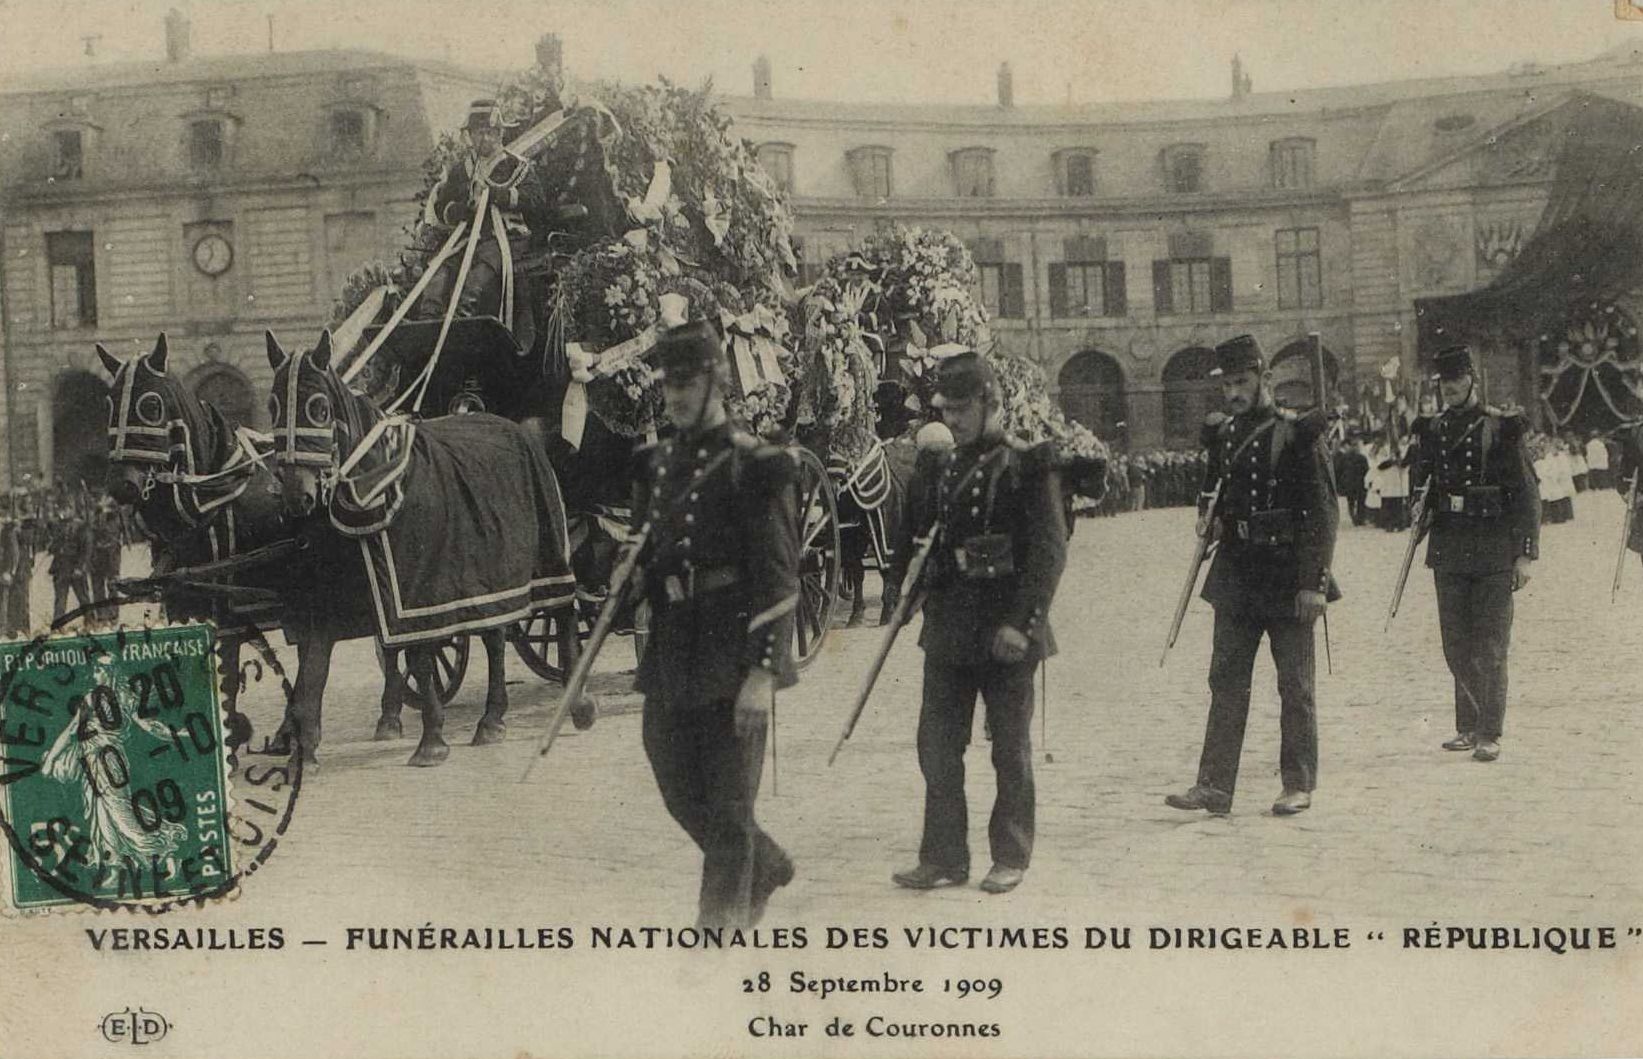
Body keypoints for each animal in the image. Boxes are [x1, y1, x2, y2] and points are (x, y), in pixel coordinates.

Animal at [266, 329, 582, 767]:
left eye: (319, 408)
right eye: (272, 406)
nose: (297, 496)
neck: (374, 488)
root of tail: (520, 429)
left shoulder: (418, 591)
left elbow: (419, 658)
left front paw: (431, 738)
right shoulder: (334, 597)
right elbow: (316, 665)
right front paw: (304, 745)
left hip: (546, 556)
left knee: (562, 613)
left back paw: (578, 703)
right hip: (491, 577)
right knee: (496, 638)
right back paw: (492, 719)